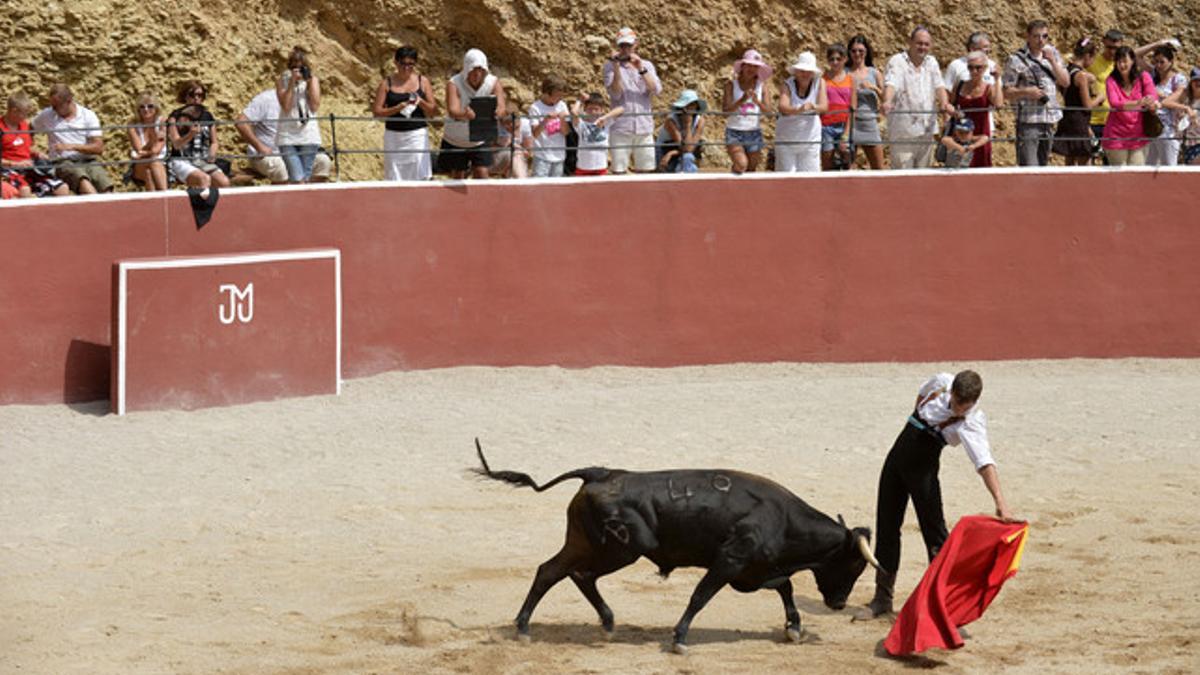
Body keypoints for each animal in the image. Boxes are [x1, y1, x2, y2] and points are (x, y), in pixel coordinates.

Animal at [470, 439, 883, 648]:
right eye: (855, 564)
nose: (839, 603)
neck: (783, 519)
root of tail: (600, 473)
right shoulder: (730, 561)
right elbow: (701, 595)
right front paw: (680, 637)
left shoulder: (750, 572)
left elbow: (784, 586)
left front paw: (794, 628)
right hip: (619, 548)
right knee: (572, 574)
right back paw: (535, 627)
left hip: (589, 543)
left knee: (555, 572)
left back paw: (585, 624)